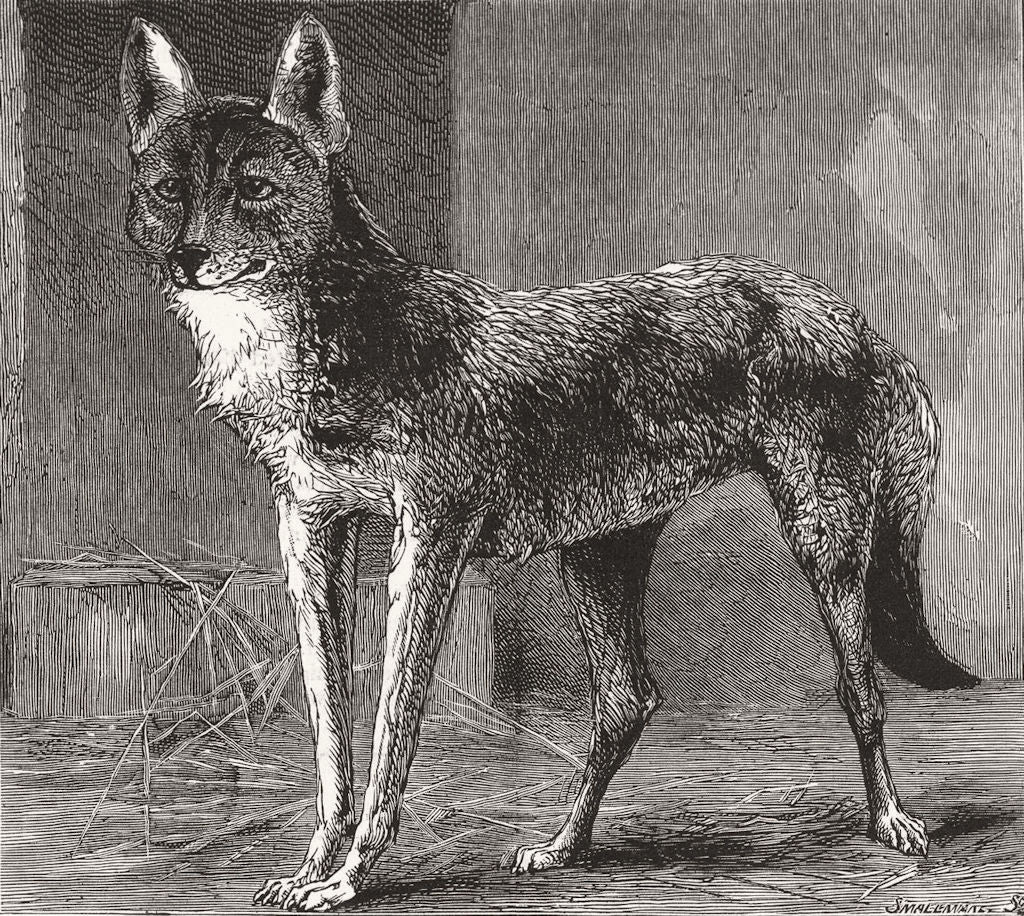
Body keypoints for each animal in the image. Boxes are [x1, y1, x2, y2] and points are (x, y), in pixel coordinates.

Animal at [120, 14, 977, 910]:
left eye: (253, 188)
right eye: (170, 190)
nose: (187, 259)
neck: (347, 336)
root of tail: (851, 317)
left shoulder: (429, 542)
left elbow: (393, 730)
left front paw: (353, 875)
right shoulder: (311, 531)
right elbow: (331, 742)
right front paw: (315, 864)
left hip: (825, 542)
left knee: (862, 690)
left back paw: (892, 822)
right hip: (598, 556)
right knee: (628, 702)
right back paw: (567, 846)